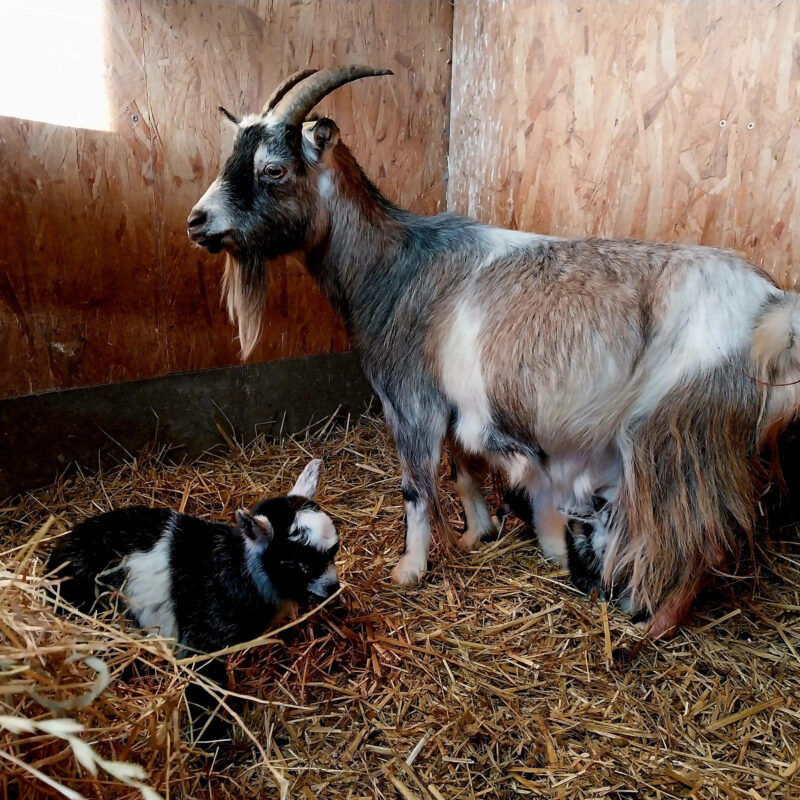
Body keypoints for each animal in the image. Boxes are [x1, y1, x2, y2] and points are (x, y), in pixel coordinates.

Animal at [188, 66, 800, 638]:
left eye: (273, 169)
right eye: (230, 157)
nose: (197, 221)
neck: (395, 267)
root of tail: (772, 312)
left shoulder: (411, 401)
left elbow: (416, 487)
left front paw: (409, 569)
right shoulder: (460, 403)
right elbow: (463, 469)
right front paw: (475, 534)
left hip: (676, 435)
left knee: (697, 537)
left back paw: (650, 628)